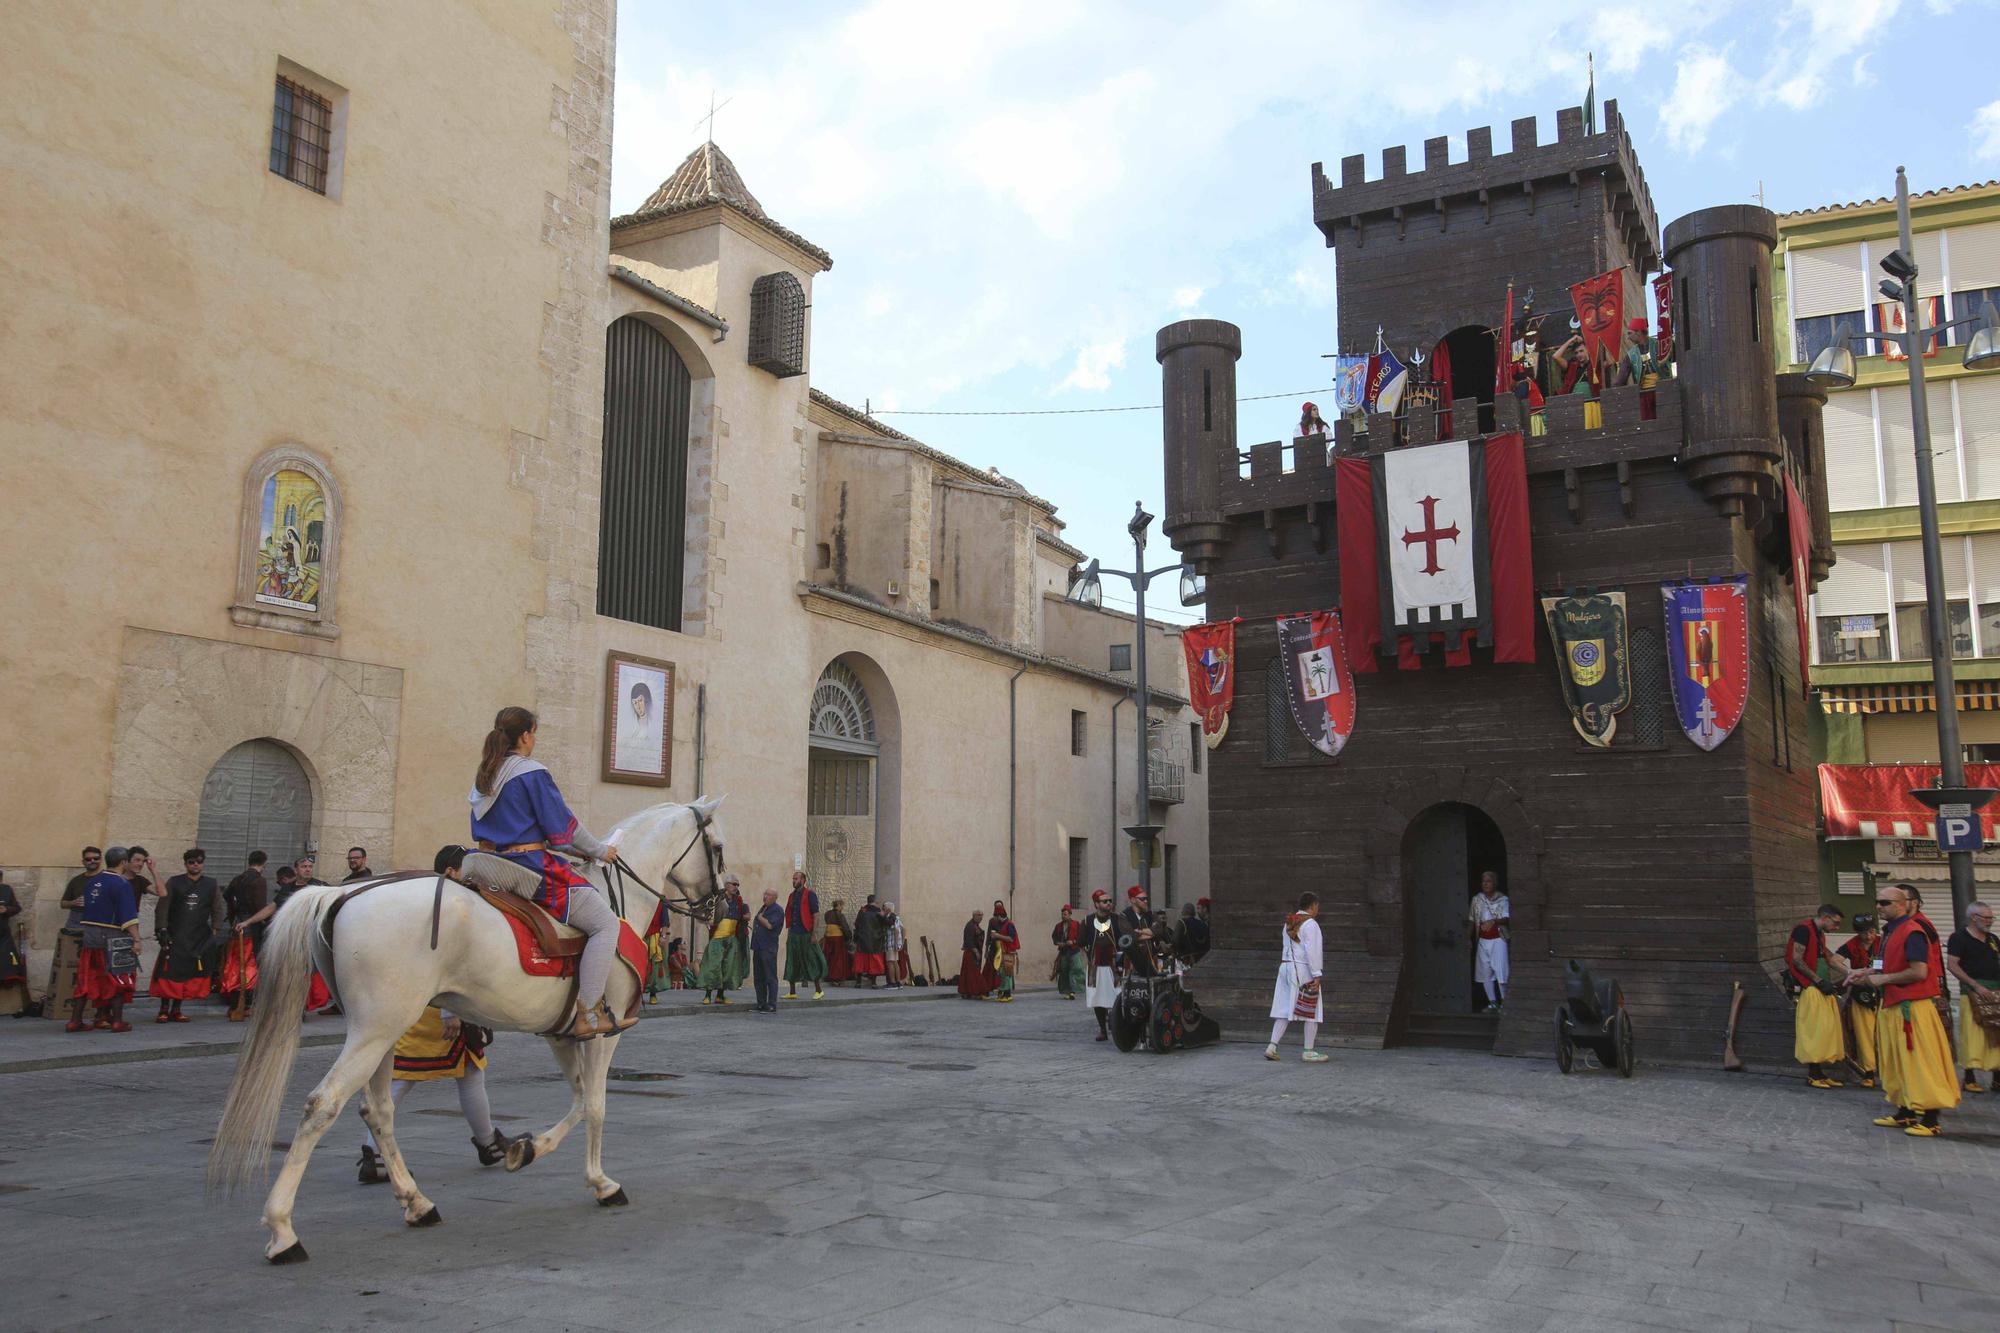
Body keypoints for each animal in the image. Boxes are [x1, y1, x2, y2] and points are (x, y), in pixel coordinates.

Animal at [209, 792, 728, 1264]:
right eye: (718, 848)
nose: (719, 906)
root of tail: (339, 892)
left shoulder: (562, 1034)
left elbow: (580, 1101)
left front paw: (527, 1149)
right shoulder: (605, 1029)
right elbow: (597, 1106)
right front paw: (602, 1184)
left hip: (380, 1032)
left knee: (378, 1110)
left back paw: (416, 1202)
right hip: (375, 1029)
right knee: (323, 1105)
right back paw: (282, 1231)